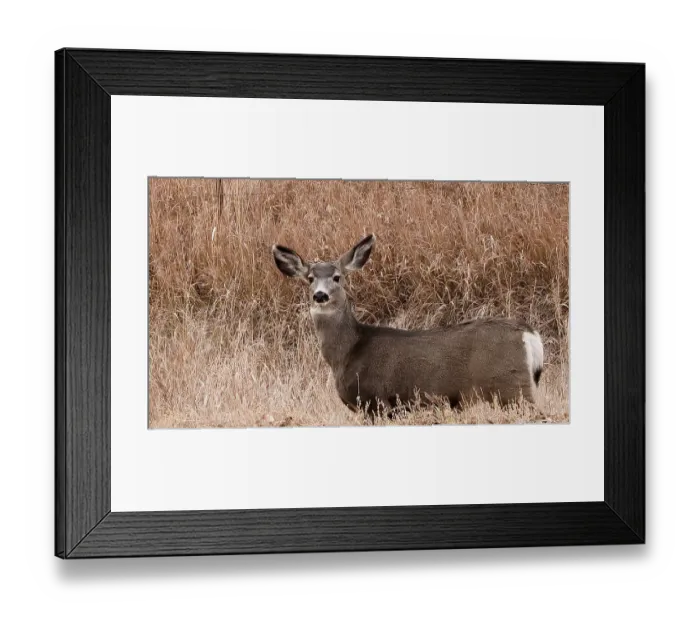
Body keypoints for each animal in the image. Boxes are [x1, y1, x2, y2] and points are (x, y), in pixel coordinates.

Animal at [272, 234, 544, 416]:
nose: (320, 295)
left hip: (513, 387)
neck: (348, 353)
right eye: (309, 279)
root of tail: (529, 335)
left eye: (337, 277)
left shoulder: (376, 401)